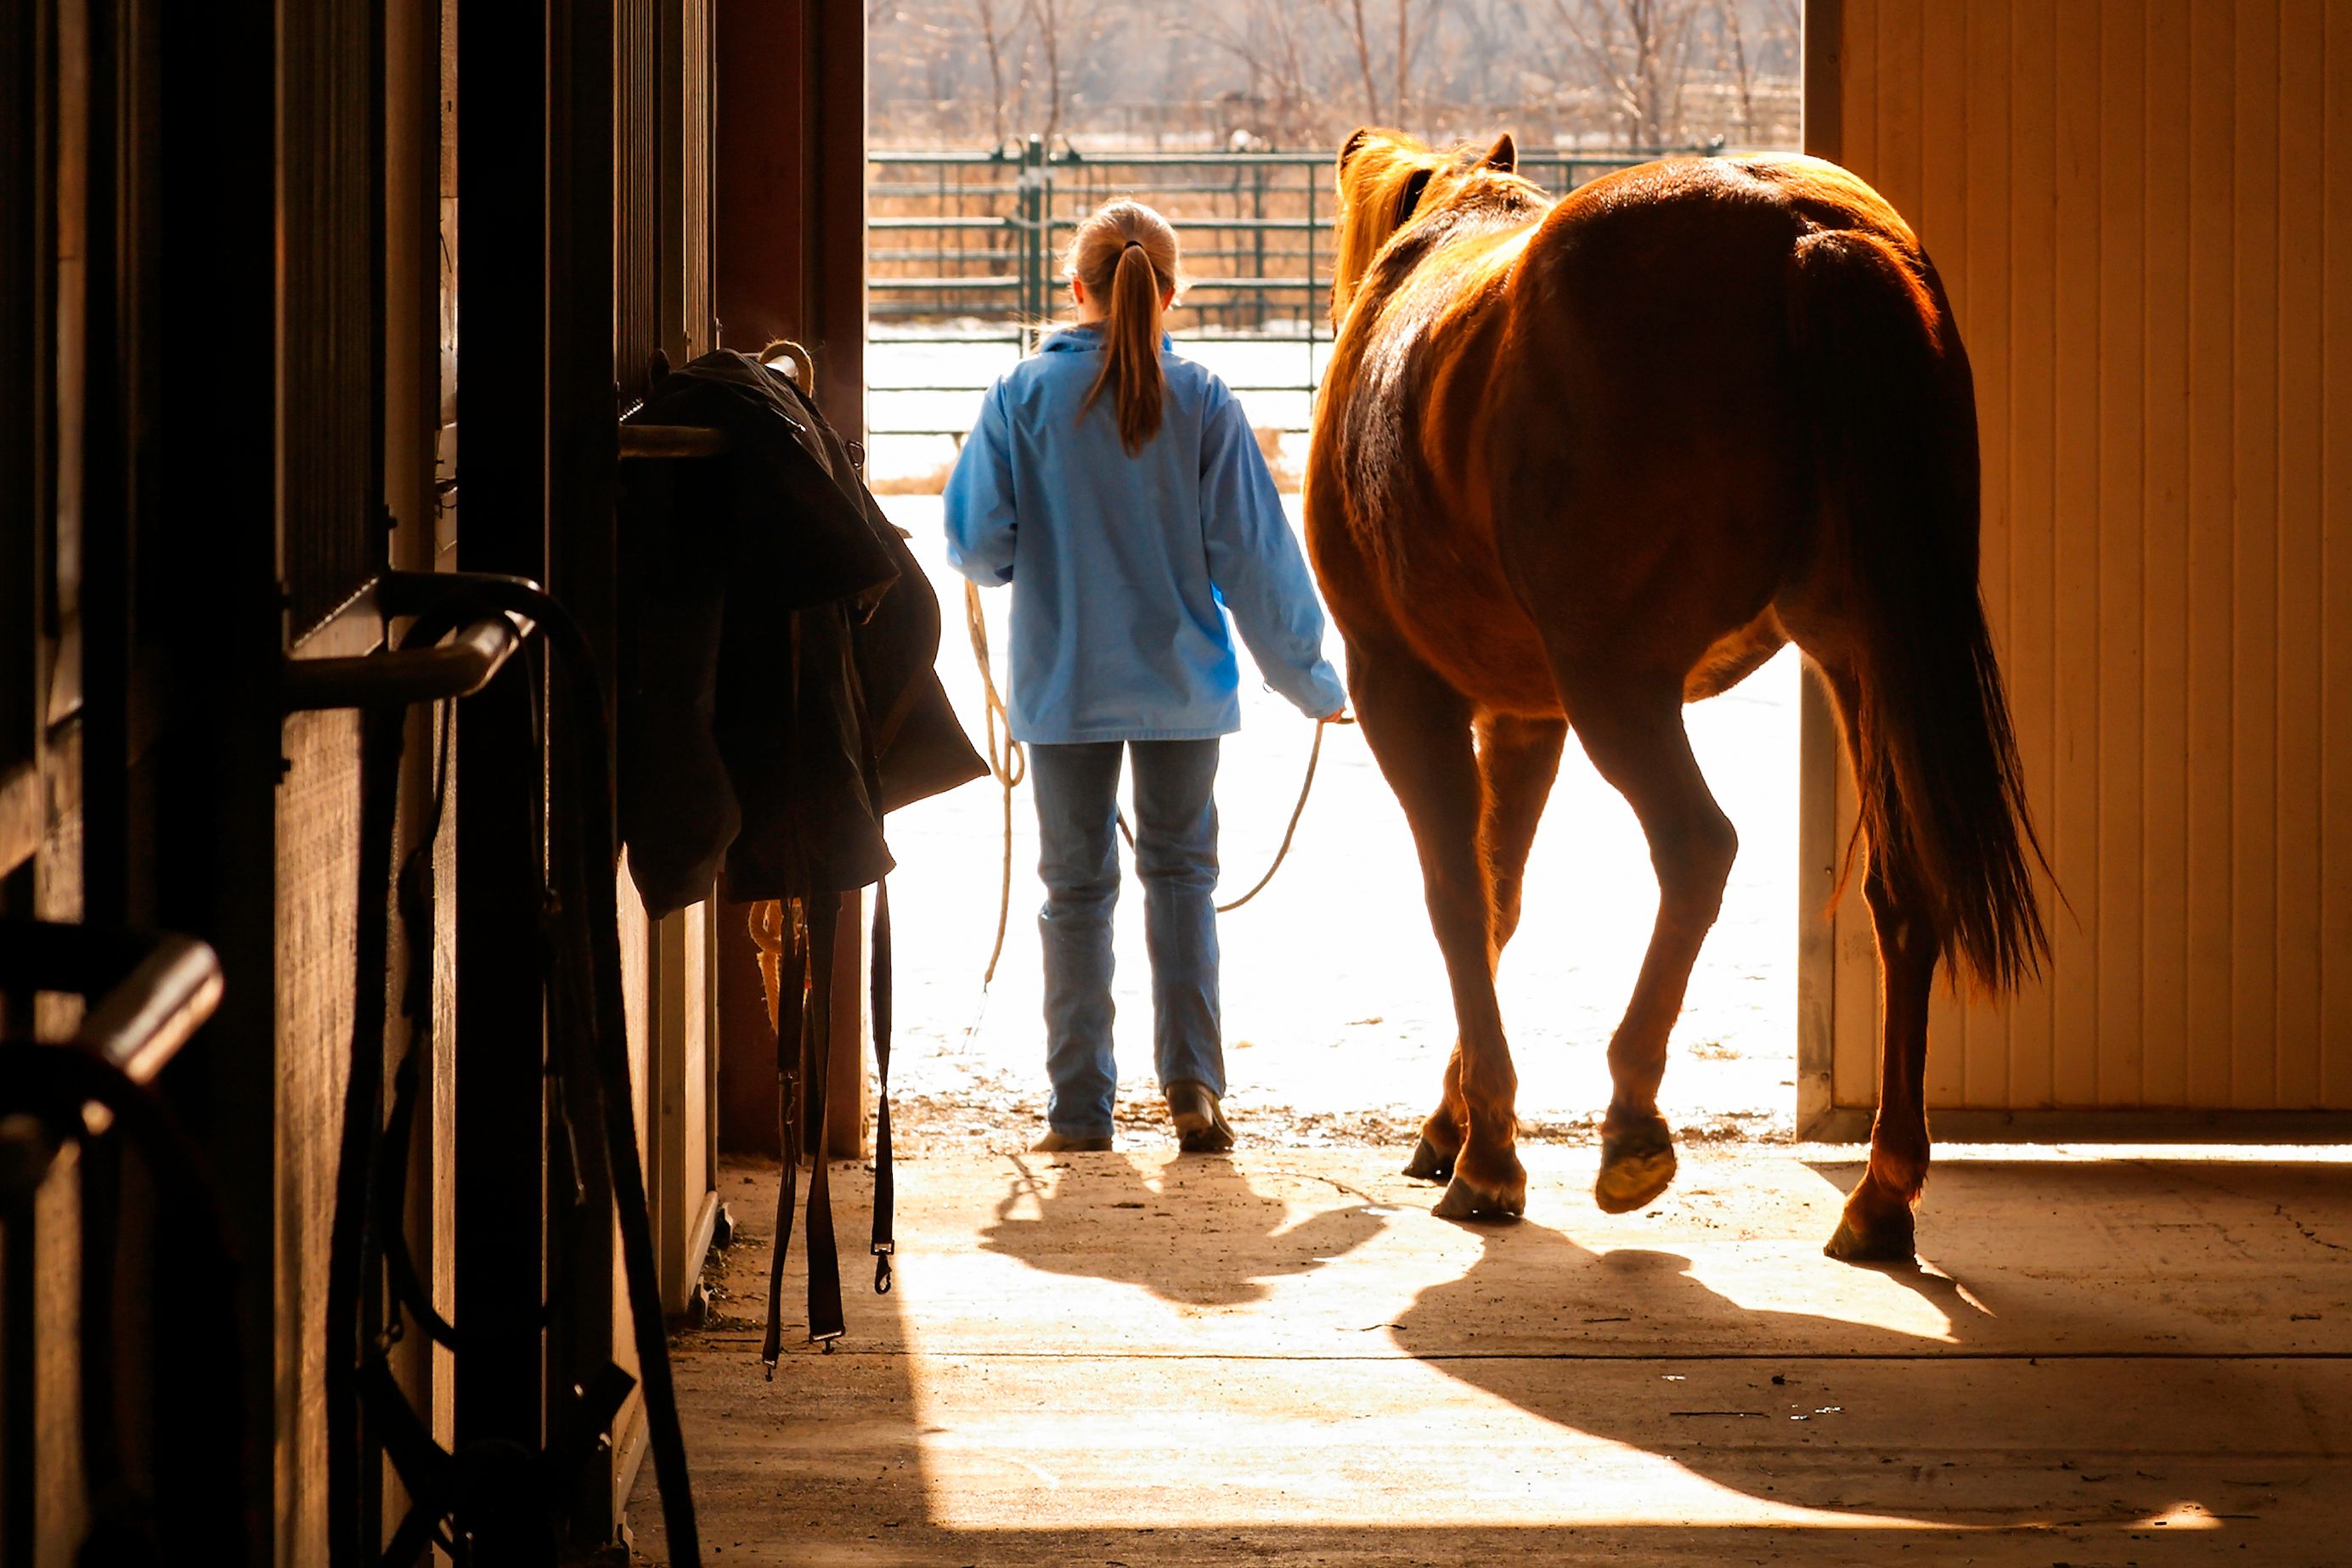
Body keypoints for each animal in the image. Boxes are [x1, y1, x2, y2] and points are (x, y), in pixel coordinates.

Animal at [1305, 129, 2050, 1261]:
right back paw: (1880, 1194)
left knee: (1698, 848)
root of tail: (1800, 232)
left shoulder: (1403, 690)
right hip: (1862, 658)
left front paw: (1487, 1154)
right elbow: (1500, 897)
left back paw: (1632, 1125)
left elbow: (1458, 898)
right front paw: (1458, 1122)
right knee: (1904, 890)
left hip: (1624, 689)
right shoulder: (1527, 717)